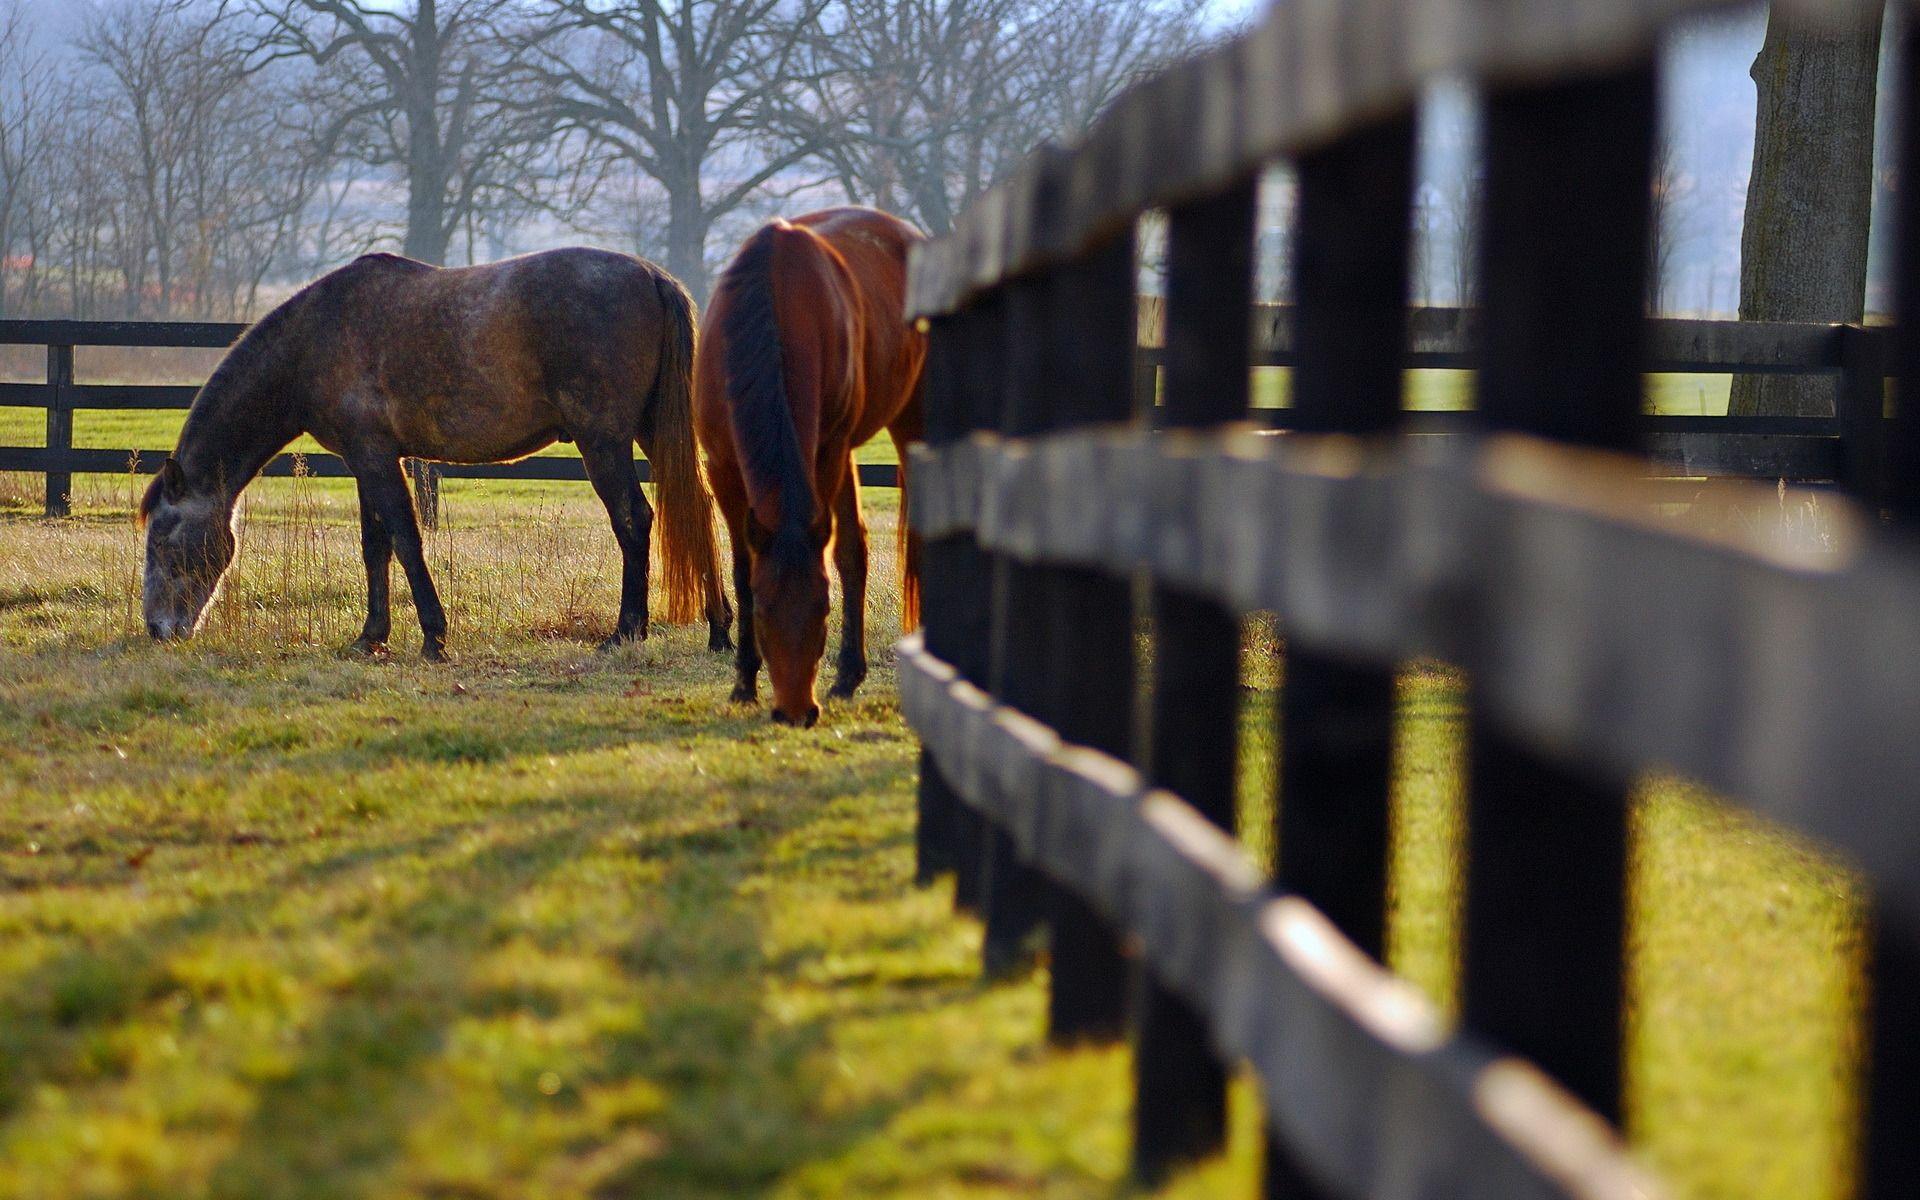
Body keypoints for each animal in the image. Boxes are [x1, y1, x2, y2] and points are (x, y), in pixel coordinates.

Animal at [137, 245, 725, 656]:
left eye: (163, 539)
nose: (158, 630)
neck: (316, 338)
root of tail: (651, 276)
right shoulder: (365, 461)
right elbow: (375, 546)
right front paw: (370, 637)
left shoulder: (376, 458)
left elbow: (405, 539)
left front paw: (434, 638)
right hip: (649, 431)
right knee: (695, 508)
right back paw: (719, 628)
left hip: (602, 440)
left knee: (634, 519)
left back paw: (627, 631)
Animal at [695, 207, 925, 725]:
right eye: (763, 610)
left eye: (823, 609)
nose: (797, 712)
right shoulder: (722, 466)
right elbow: (742, 566)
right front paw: (743, 682)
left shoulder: (826, 451)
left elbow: (838, 556)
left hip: (908, 420)